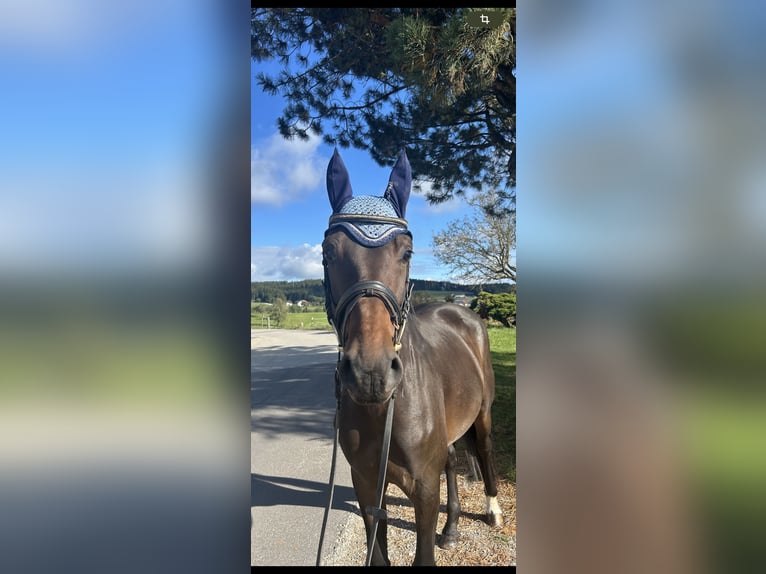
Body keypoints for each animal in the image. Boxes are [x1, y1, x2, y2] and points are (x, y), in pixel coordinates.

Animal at [322, 148, 508, 568]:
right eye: (328, 252)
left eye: (406, 252)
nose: (370, 373)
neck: (385, 408)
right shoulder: (365, 483)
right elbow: (378, 555)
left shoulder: (423, 487)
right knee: (453, 460)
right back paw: (451, 528)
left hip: (484, 413)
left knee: (485, 450)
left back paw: (493, 510)